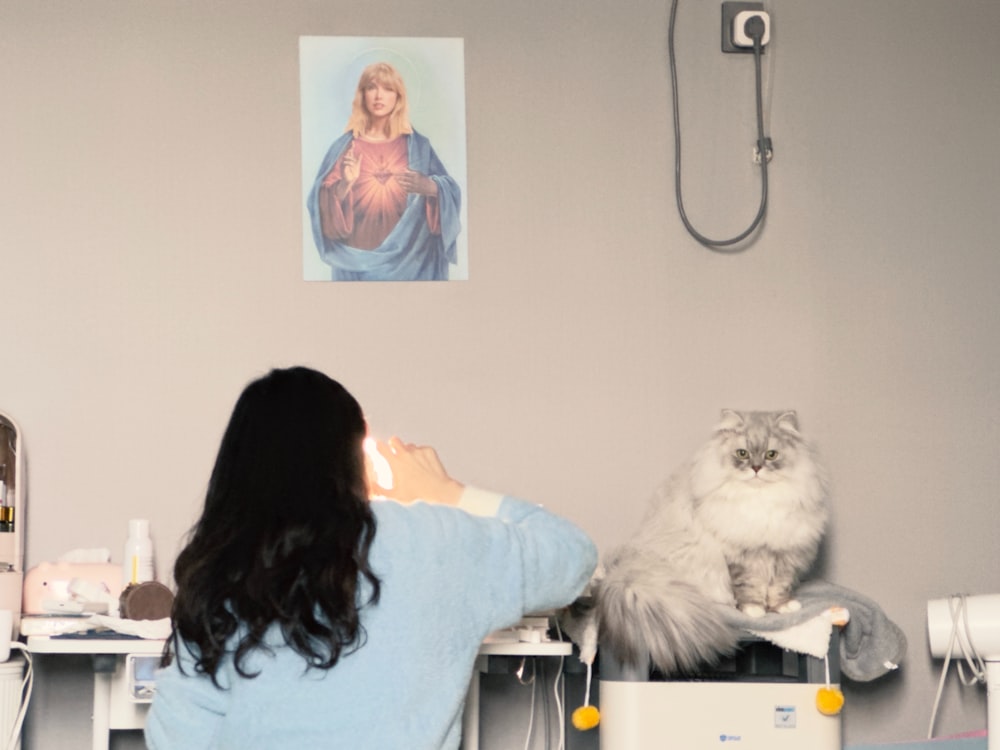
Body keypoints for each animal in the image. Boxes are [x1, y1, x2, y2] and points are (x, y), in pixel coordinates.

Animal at [592, 412, 828, 676]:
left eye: (771, 455)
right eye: (742, 454)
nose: (756, 468)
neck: (759, 501)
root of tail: (628, 572)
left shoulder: (783, 554)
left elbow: (779, 587)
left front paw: (784, 608)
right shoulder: (740, 555)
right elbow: (749, 588)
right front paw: (754, 611)